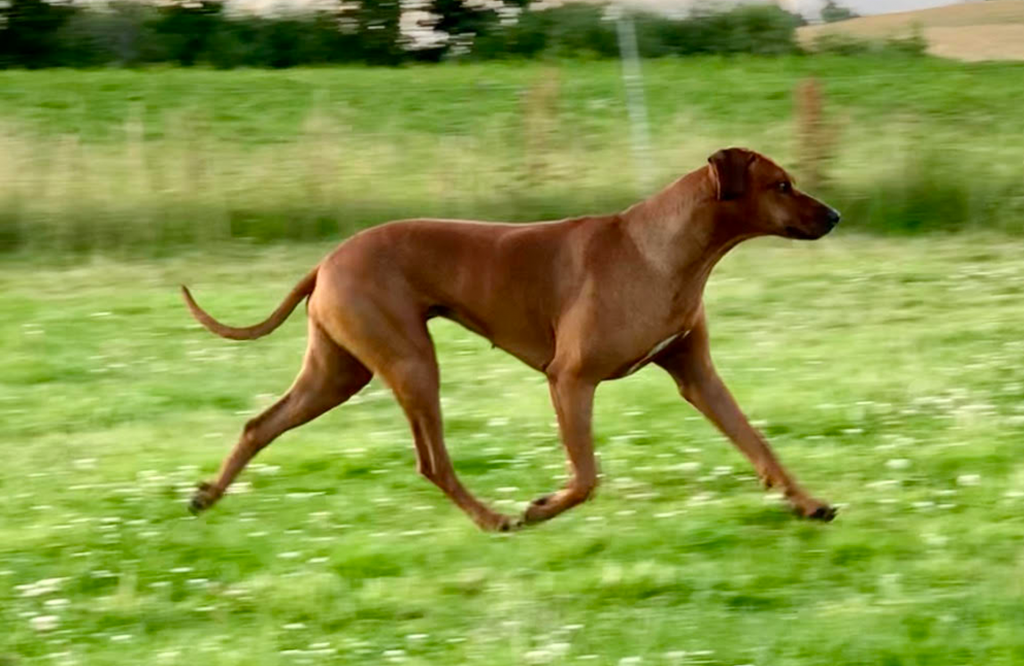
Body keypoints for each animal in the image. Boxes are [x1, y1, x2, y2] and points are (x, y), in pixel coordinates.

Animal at [182, 146, 839, 528]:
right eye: (782, 185)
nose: (833, 215)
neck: (663, 250)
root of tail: (327, 261)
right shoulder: (570, 379)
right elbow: (586, 477)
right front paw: (542, 507)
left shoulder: (696, 374)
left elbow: (757, 443)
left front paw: (807, 502)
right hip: (412, 362)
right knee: (431, 461)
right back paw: (493, 517)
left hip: (338, 373)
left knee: (259, 424)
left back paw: (208, 496)